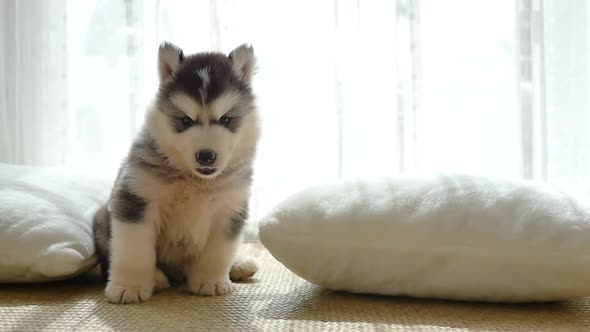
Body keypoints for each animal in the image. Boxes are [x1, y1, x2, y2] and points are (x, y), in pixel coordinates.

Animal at [92, 41, 260, 304]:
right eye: (185, 120)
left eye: (226, 119)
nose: (206, 156)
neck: (195, 180)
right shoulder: (137, 201)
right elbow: (134, 251)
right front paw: (129, 286)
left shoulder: (230, 208)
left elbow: (218, 251)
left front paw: (211, 281)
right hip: (102, 219)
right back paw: (157, 278)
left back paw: (239, 264)